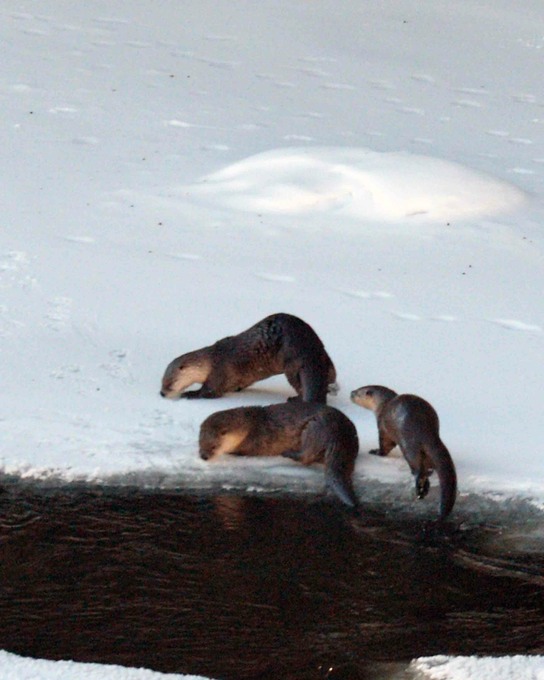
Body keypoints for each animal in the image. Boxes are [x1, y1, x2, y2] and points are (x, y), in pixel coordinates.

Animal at [159, 314, 336, 404]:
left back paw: (295, 399)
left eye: (170, 382)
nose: (161, 393)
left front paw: (190, 393)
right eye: (162, 381)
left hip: (292, 362)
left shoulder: (219, 370)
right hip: (326, 360)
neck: (210, 360)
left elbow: (210, 391)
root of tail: (310, 348)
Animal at [198, 402, 360, 508]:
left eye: (213, 446)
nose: (203, 456)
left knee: (306, 456)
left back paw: (287, 453)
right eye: (200, 443)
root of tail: (340, 436)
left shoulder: (256, 441)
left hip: (315, 427)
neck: (249, 427)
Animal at [350, 386, 456, 516]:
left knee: (417, 467)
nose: (351, 393)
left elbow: (385, 445)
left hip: (408, 444)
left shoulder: (382, 426)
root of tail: (424, 430)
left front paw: (376, 452)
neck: (383, 405)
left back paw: (419, 485)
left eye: (358, 392)